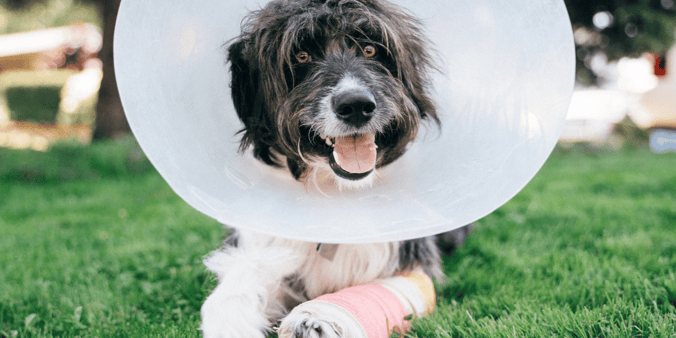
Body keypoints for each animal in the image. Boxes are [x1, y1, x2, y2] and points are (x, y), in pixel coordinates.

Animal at [198, 1, 470, 336]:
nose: (356, 106)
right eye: (301, 56)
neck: (336, 192)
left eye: (370, 49)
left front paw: (319, 318)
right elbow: (235, 290)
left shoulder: (410, 260)